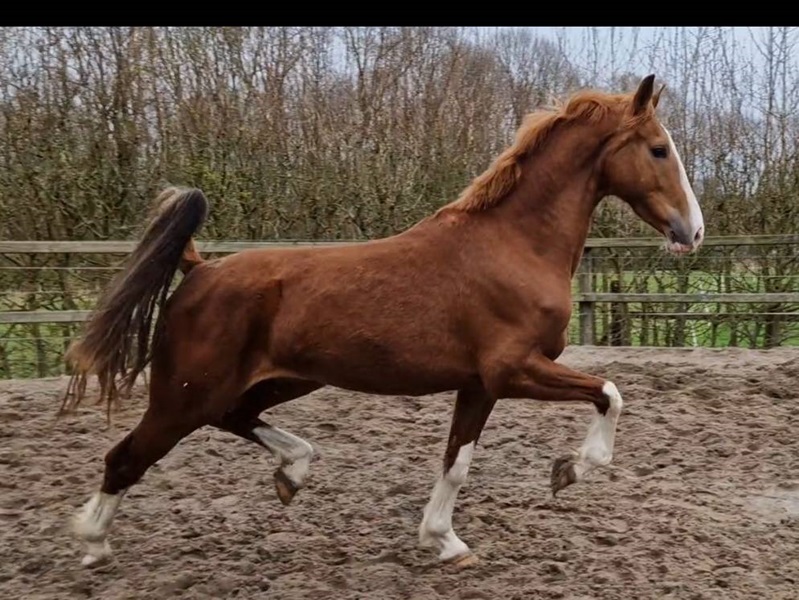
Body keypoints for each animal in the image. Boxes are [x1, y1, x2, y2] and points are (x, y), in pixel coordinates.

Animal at [59, 74, 704, 568]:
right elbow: (611, 393)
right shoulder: (514, 370)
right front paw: (568, 470)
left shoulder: (478, 385)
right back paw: (92, 545)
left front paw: (444, 542)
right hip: (184, 396)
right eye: (658, 149)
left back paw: (293, 472)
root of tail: (198, 270)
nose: (692, 232)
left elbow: (456, 463)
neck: (514, 246)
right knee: (126, 457)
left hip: (280, 380)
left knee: (234, 417)